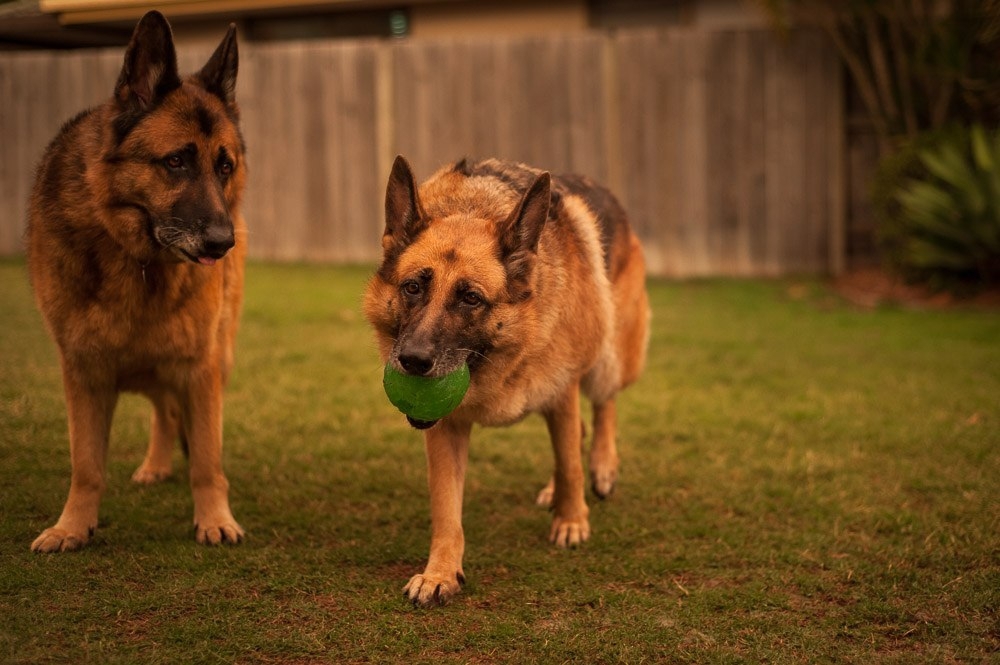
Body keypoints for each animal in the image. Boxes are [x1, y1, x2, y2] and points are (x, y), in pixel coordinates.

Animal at [26, 11, 246, 548]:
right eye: (175, 161)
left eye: (224, 166)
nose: (222, 243)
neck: (138, 261)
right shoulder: (83, 372)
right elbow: (86, 465)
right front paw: (72, 527)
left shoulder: (200, 366)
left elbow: (206, 460)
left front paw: (214, 518)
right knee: (163, 408)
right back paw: (155, 465)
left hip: (215, 355)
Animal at [364, 157, 652, 608]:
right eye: (412, 287)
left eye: (470, 298)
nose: (412, 361)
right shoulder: (446, 428)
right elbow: (446, 508)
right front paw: (440, 573)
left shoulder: (562, 390)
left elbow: (570, 463)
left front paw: (572, 521)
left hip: (610, 354)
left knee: (602, 407)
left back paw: (602, 468)